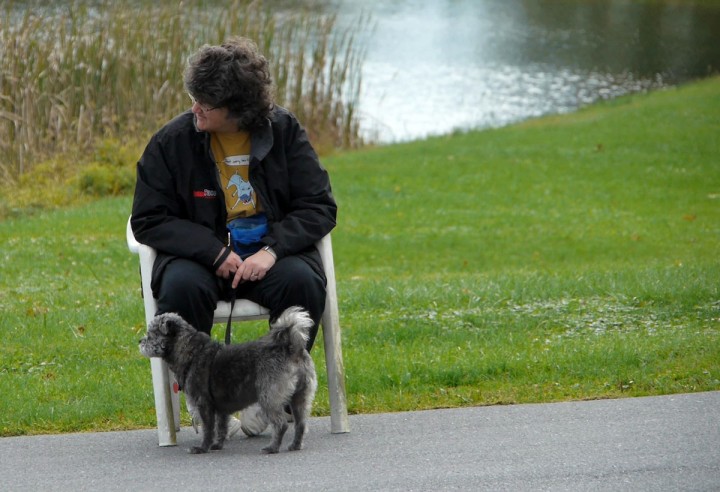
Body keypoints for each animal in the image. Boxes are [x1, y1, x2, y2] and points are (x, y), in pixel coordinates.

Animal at [140, 308, 318, 454]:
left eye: (151, 335)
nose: (140, 341)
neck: (192, 352)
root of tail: (290, 347)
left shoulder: (204, 404)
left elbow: (208, 429)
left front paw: (202, 448)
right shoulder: (221, 408)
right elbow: (221, 428)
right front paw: (217, 445)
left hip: (269, 397)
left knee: (281, 424)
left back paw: (272, 448)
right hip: (300, 397)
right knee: (301, 423)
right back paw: (295, 445)